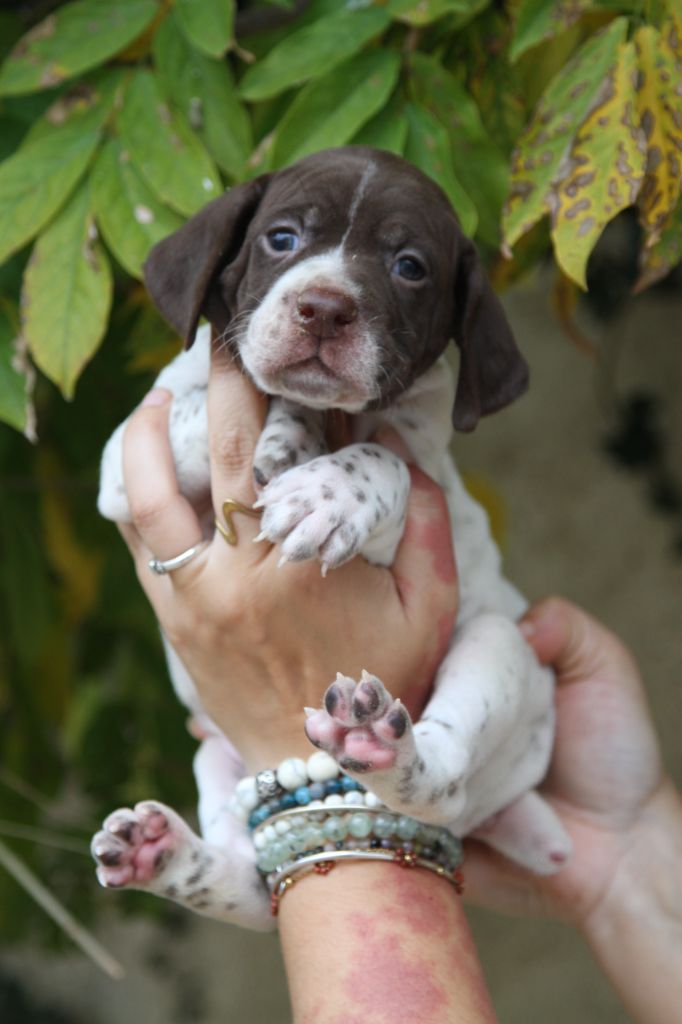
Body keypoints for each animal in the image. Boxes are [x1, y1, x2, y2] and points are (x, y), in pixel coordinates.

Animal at [90, 148, 569, 933]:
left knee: (445, 779)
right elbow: (204, 409)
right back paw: (158, 854)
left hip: (498, 648)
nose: (324, 307)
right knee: (255, 887)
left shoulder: (421, 474)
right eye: (282, 238)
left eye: (409, 266)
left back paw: (382, 746)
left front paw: (325, 491)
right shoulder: (127, 458)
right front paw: (289, 430)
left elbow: (385, 464)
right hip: (215, 760)